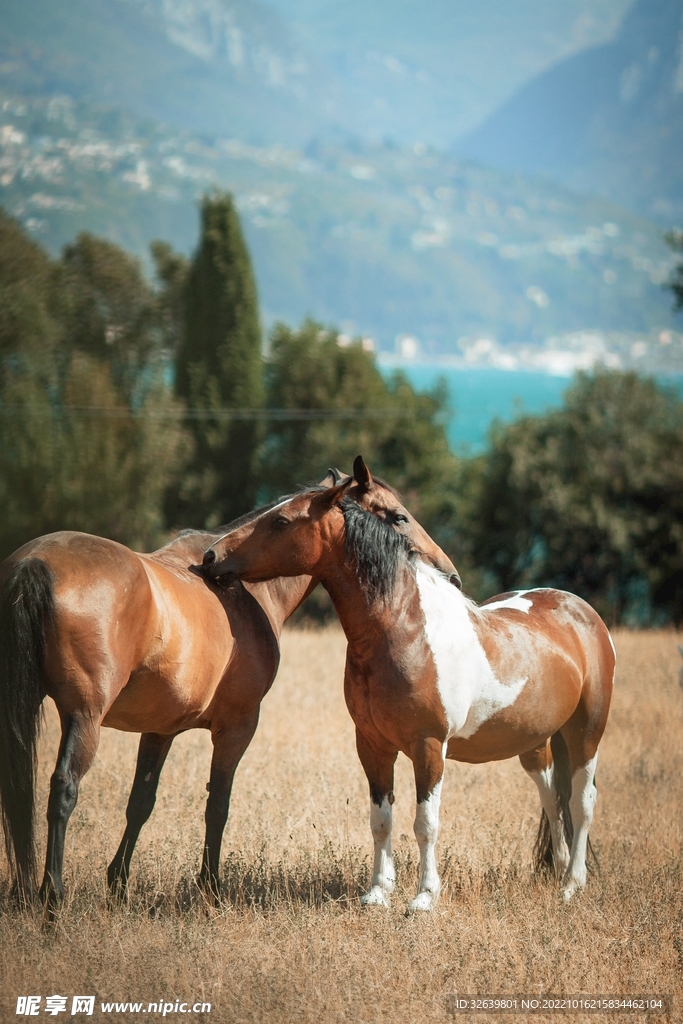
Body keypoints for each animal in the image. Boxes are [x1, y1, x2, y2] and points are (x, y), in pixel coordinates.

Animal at [200, 456, 618, 913]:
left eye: (280, 520)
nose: (211, 555)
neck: (403, 629)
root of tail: (578, 609)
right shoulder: (372, 745)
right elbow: (381, 820)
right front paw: (378, 892)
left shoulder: (428, 746)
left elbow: (425, 823)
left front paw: (424, 898)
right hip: (535, 743)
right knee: (551, 797)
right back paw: (558, 872)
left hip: (586, 733)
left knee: (582, 801)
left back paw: (572, 884)